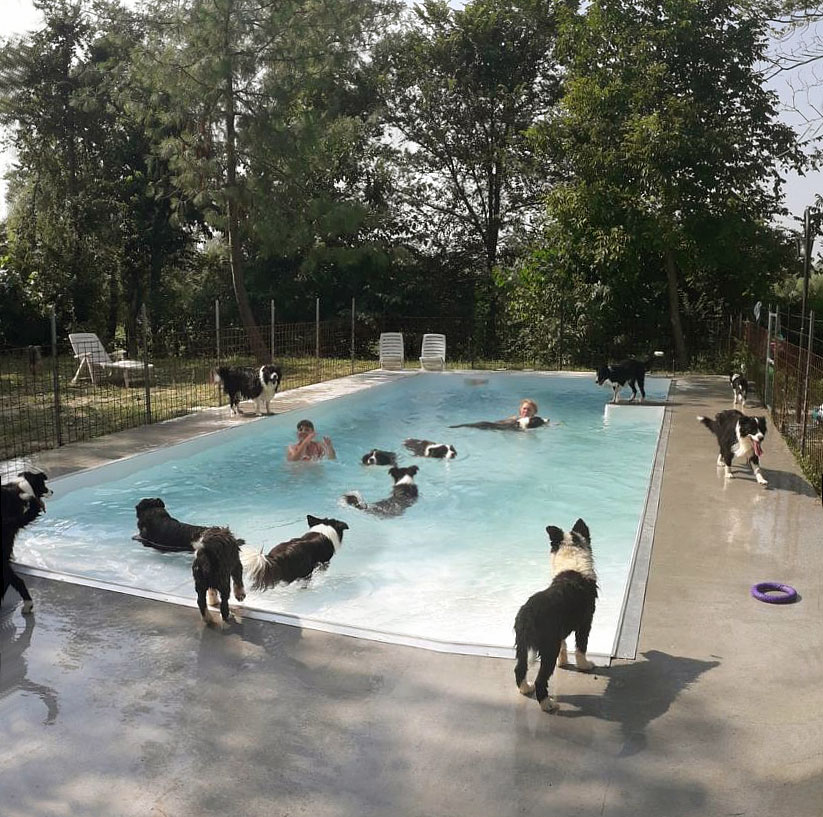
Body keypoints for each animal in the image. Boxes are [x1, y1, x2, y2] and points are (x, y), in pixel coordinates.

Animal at [516, 520, 600, 712]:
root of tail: (528, 616)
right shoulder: (585, 622)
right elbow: (581, 647)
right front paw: (585, 666)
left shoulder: (560, 630)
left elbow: (564, 644)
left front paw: (563, 663)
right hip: (548, 648)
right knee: (541, 679)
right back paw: (547, 704)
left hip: (522, 645)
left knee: (519, 669)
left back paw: (526, 689)